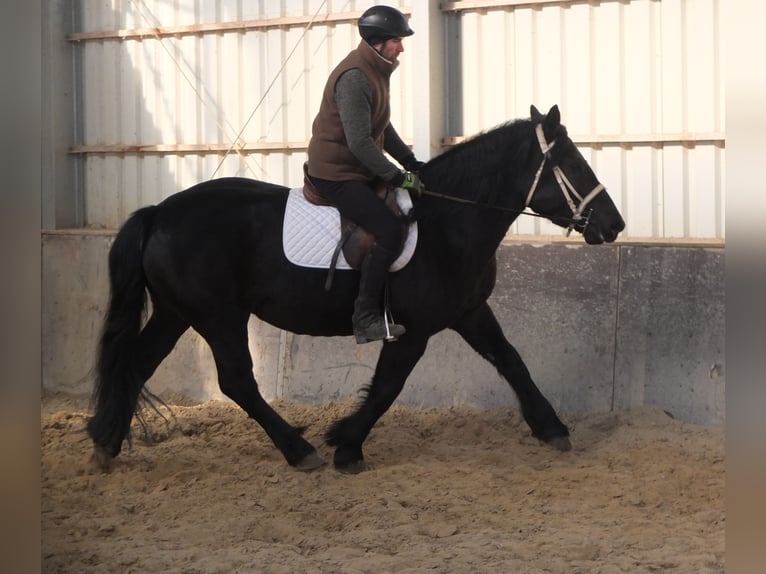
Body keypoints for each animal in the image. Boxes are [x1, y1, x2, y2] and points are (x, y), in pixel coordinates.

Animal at [87, 106, 628, 474]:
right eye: (573, 164)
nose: (615, 224)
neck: (447, 222)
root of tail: (158, 211)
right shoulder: (413, 330)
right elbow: (388, 386)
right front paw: (346, 443)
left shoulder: (470, 312)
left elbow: (511, 360)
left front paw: (551, 427)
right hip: (218, 317)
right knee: (237, 381)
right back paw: (299, 450)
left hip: (176, 313)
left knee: (136, 364)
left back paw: (105, 444)